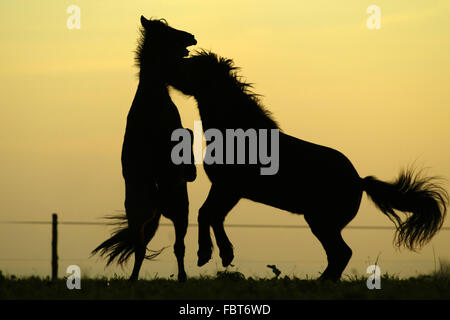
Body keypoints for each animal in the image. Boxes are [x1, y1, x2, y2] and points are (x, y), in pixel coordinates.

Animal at [92, 16, 197, 282]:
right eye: (168, 32)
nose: (192, 37)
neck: (152, 100)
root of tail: (159, 201)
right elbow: (187, 136)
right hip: (162, 213)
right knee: (150, 248)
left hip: (173, 212)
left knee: (167, 247)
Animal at [167, 51, 448, 282]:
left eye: (190, 65)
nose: (169, 67)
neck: (236, 131)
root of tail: (359, 180)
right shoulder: (229, 190)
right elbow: (214, 216)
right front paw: (224, 254)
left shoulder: (228, 188)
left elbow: (206, 214)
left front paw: (206, 254)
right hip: (322, 222)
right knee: (338, 254)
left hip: (321, 221)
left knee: (342, 252)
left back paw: (322, 281)